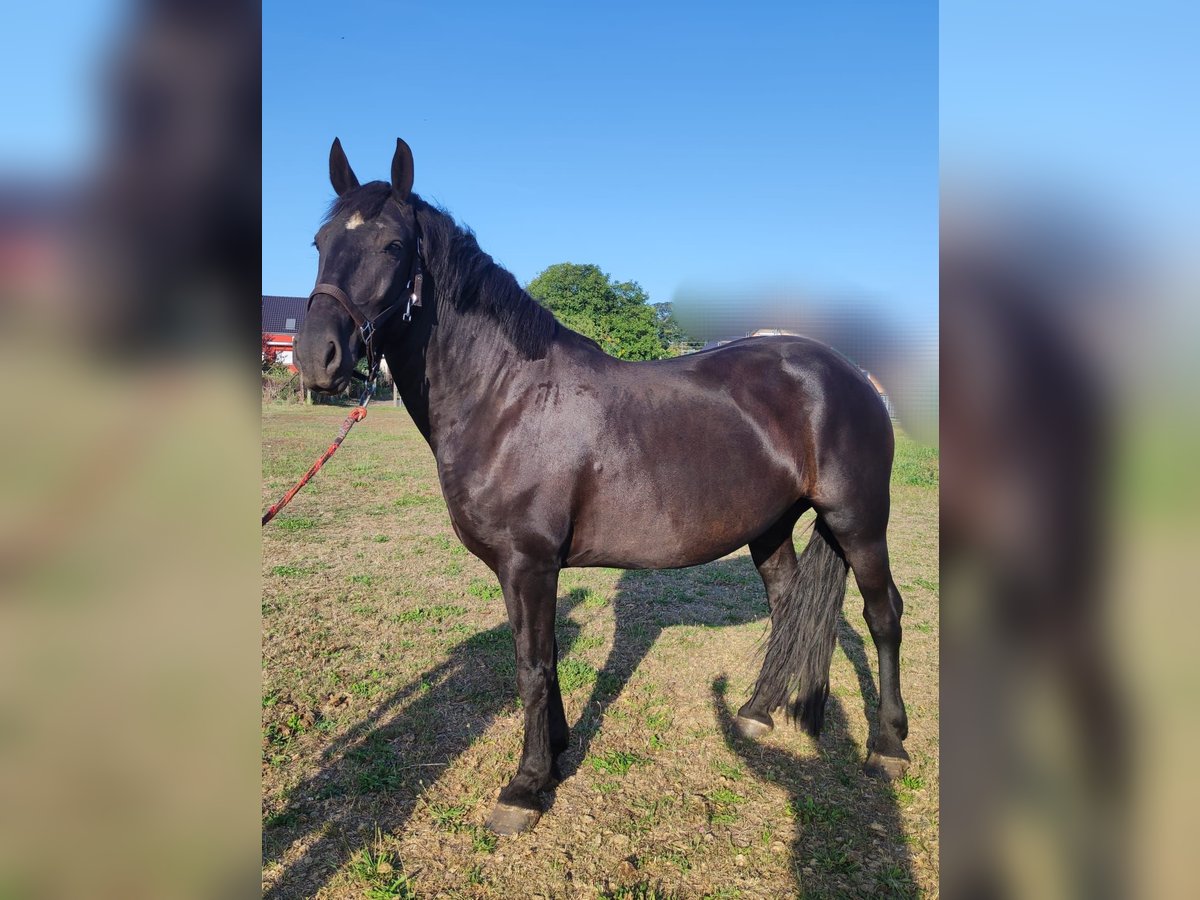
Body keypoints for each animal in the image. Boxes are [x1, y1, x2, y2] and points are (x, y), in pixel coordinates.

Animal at [292, 139, 907, 840]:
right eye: (319, 242)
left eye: (394, 246)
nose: (315, 358)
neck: (507, 397)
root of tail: (850, 374)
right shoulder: (532, 570)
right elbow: (548, 655)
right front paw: (556, 755)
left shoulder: (528, 562)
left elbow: (531, 666)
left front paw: (526, 786)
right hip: (772, 526)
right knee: (789, 608)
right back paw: (760, 711)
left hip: (859, 519)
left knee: (883, 616)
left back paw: (888, 746)